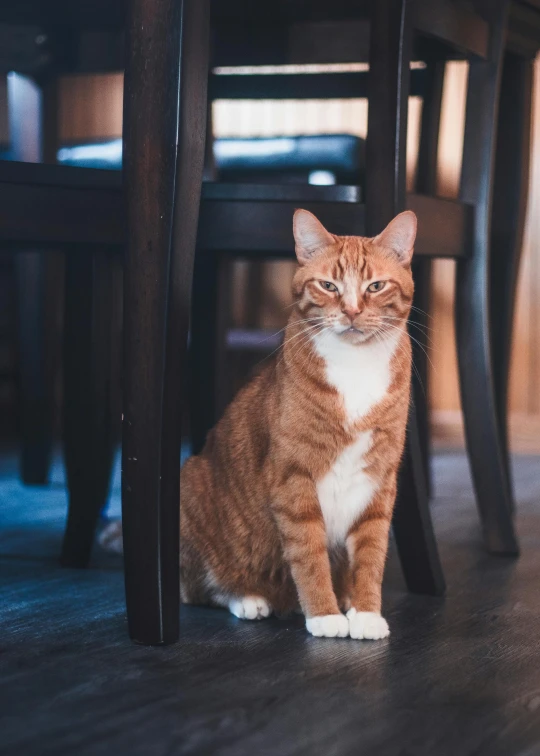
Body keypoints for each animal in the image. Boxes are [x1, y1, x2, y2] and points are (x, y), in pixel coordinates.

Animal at [181, 208, 418, 636]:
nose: (352, 311)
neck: (355, 365)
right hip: (189, 484)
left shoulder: (379, 479)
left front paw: (366, 611)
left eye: (375, 286)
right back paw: (248, 598)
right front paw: (324, 614)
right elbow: (309, 555)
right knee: (198, 588)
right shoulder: (294, 479)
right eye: (328, 285)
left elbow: (371, 555)